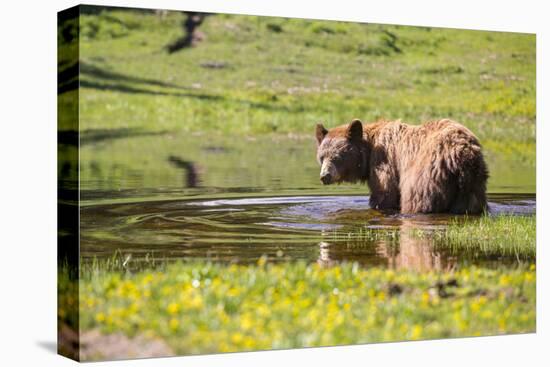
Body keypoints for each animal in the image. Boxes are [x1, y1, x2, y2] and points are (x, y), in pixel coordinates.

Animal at [316, 118, 490, 216]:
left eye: (337, 157)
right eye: (322, 157)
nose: (325, 176)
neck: (369, 150)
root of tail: (462, 152)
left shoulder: (383, 162)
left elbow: (385, 192)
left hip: (428, 171)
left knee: (418, 198)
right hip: (473, 181)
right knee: (470, 203)